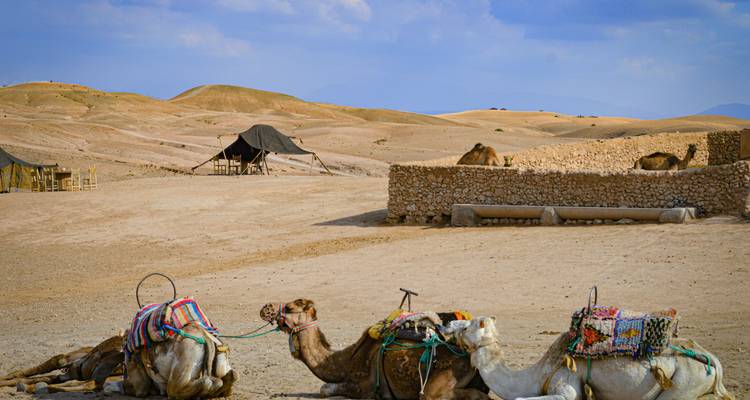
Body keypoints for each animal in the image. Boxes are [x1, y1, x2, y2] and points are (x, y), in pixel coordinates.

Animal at [103, 322, 237, 399]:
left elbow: (127, 386)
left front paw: (107, 387)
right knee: (230, 376)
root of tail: (205, 337)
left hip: (183, 362)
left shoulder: (139, 382)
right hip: (221, 355)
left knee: (175, 389)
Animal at [259, 299, 490, 399]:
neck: (344, 362)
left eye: (290, 307)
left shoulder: (365, 386)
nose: (265, 308)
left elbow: (325, 389)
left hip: (439, 384)